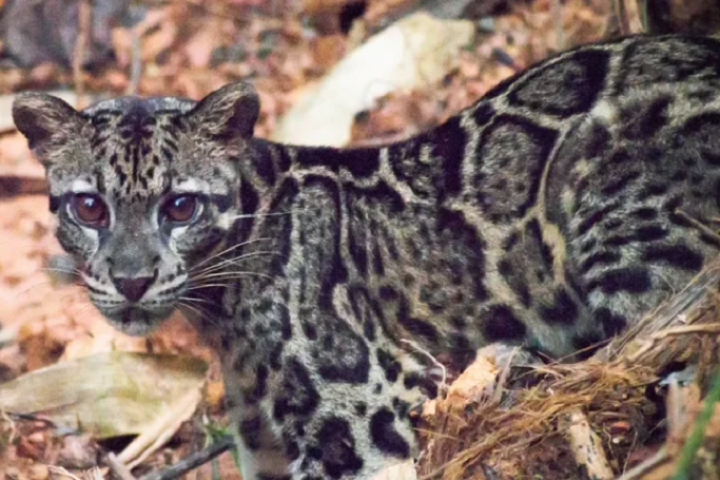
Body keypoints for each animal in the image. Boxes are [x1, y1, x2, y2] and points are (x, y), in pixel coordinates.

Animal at [12, 33, 720, 480]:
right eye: (89, 208)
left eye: (180, 207)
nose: (132, 281)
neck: (222, 321)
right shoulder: (265, 451)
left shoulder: (370, 424)